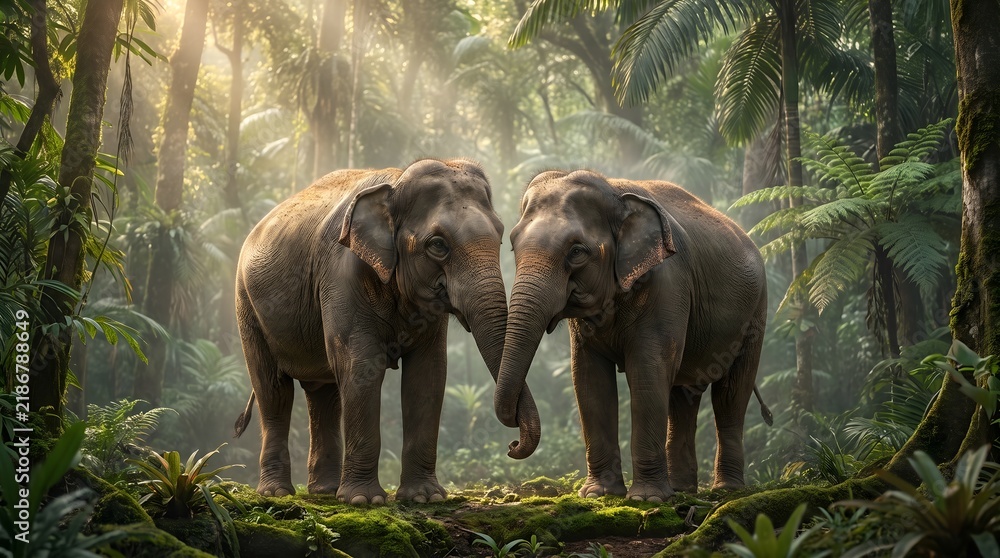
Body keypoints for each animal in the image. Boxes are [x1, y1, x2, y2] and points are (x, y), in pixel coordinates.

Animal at [233, 159, 540, 504]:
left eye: (500, 237)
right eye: (438, 245)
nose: (512, 445)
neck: (397, 181)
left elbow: (428, 375)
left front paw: (424, 498)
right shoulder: (341, 275)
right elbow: (361, 367)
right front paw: (364, 500)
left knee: (323, 394)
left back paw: (325, 491)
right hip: (246, 306)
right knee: (273, 390)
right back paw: (277, 492)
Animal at [493, 169, 770, 502]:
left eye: (577, 251)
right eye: (512, 245)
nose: (512, 446)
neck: (613, 189)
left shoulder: (668, 284)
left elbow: (648, 371)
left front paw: (645, 498)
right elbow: (589, 379)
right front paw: (599, 494)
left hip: (756, 312)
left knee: (730, 393)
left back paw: (726, 490)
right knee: (683, 397)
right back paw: (681, 490)